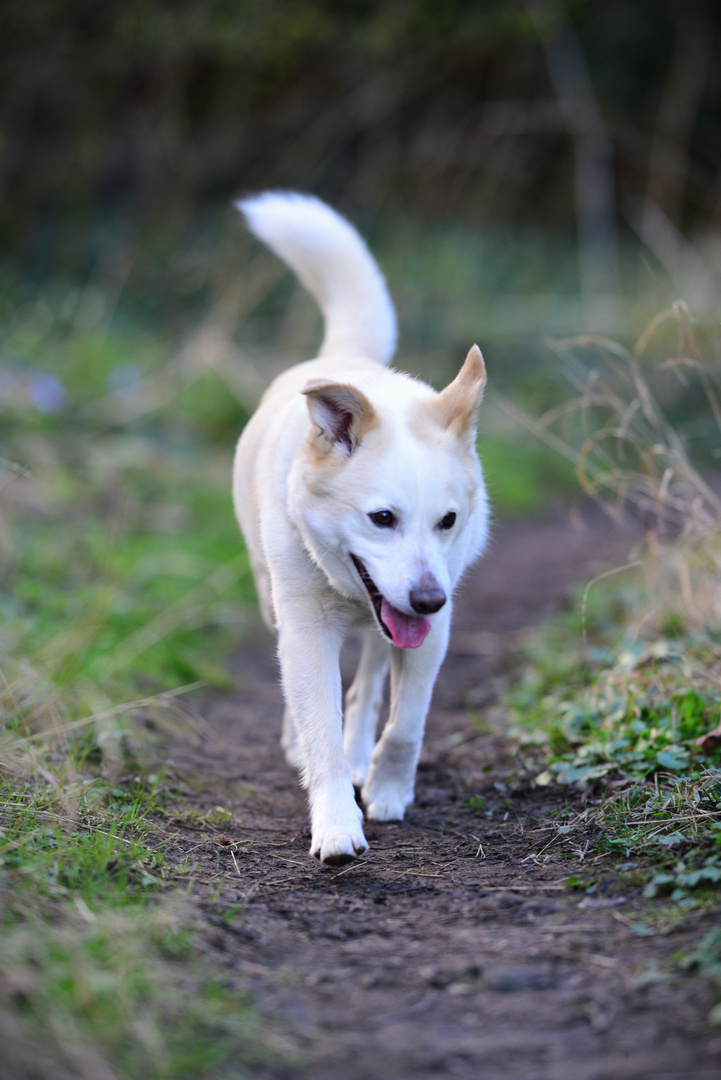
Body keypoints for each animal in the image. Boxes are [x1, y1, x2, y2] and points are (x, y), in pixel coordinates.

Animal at [232, 194, 490, 864]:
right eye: (382, 518)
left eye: (448, 521)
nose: (427, 597)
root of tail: (341, 357)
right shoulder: (304, 627)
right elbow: (319, 726)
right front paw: (336, 826)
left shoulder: (437, 628)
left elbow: (406, 722)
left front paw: (389, 790)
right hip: (273, 601)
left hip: (395, 623)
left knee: (371, 682)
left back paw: (362, 757)